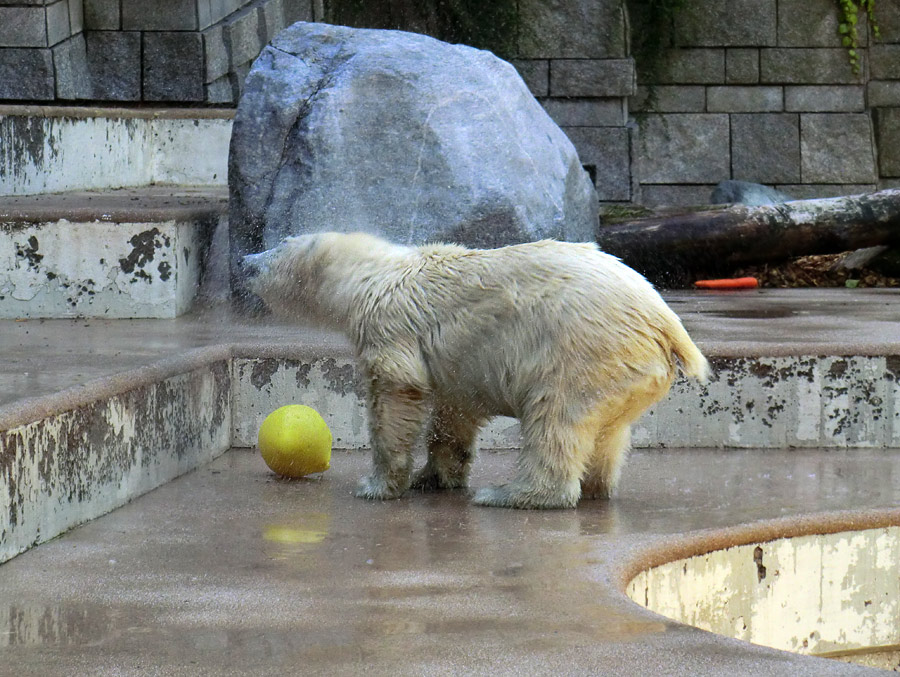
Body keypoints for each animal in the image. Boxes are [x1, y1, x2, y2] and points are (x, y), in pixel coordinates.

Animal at [243, 232, 708, 508]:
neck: (378, 276)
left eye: (276, 246)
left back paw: (510, 493)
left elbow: (395, 393)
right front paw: (436, 475)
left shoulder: (390, 326)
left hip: (580, 350)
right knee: (608, 432)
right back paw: (596, 486)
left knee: (555, 419)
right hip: (624, 371)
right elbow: (454, 410)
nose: (246, 258)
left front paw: (378, 485)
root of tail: (665, 323)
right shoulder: (458, 365)